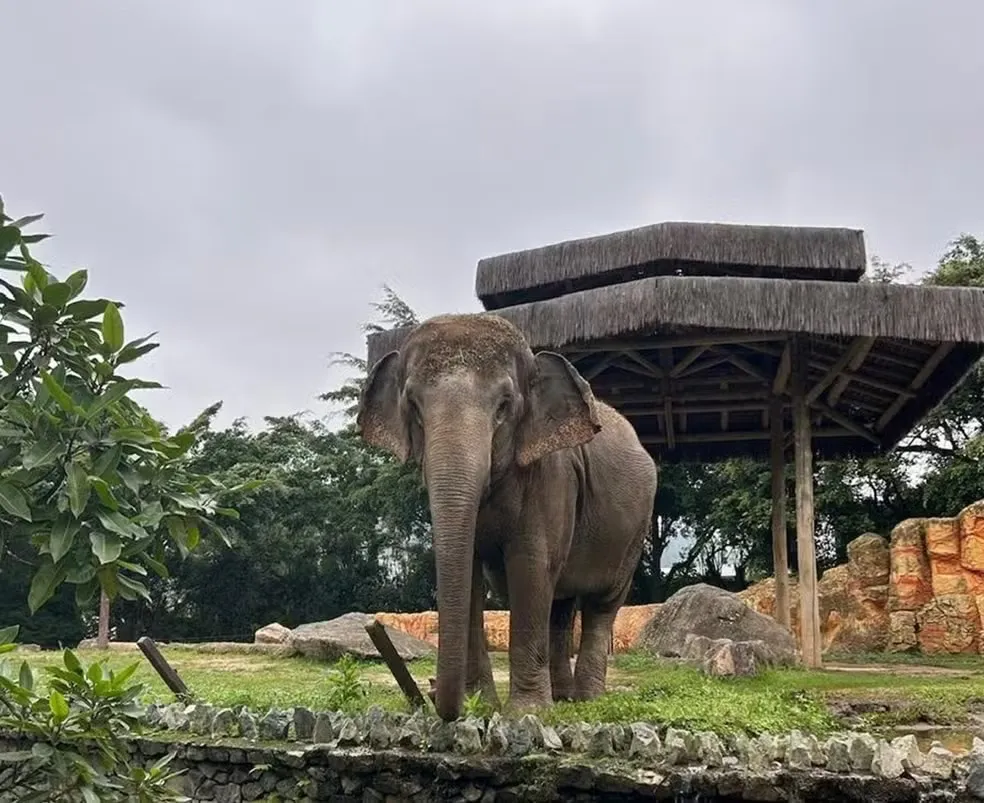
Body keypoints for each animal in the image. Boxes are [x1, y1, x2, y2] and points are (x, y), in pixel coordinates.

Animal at [357, 312, 658, 722]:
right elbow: (470, 573)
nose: (434, 698)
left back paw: (587, 700)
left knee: (601, 605)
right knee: (560, 607)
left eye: (504, 406)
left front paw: (526, 713)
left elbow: (529, 568)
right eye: (413, 407)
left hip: (634, 532)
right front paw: (484, 706)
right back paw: (563, 697)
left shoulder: (551, 477)